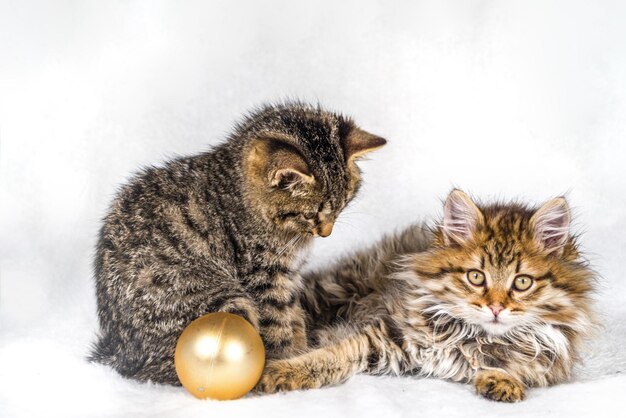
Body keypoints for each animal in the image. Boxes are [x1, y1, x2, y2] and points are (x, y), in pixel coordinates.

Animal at [89, 103, 386, 384]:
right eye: (310, 214)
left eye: (342, 207)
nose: (326, 233)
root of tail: (120, 352)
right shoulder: (262, 276)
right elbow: (278, 323)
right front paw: (286, 359)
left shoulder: (289, 276)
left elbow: (294, 315)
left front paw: (299, 349)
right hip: (226, 302)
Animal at [255, 190, 596, 402]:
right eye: (476, 277)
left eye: (522, 282)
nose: (496, 308)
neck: (474, 336)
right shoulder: (388, 333)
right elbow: (330, 355)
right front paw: (279, 371)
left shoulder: (551, 359)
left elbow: (520, 366)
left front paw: (502, 381)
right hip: (332, 292)